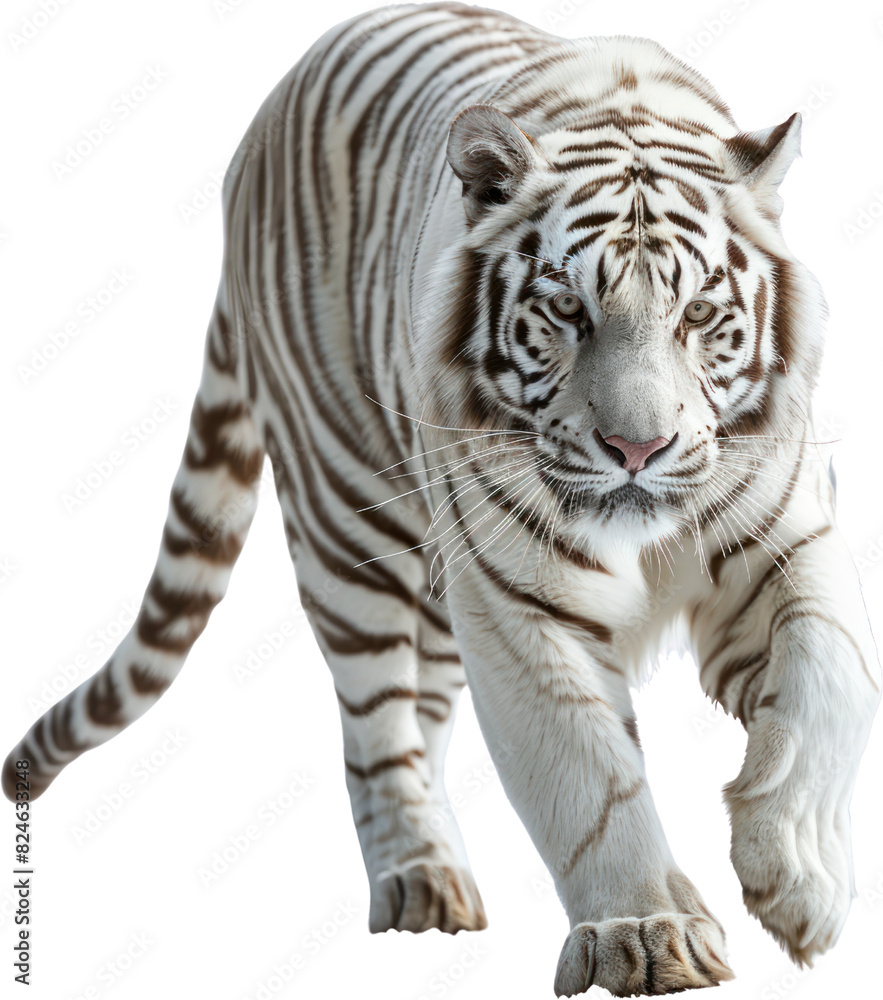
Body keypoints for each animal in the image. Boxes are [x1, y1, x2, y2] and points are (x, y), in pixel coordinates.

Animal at [4, 2, 880, 996]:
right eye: (567, 311)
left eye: (696, 314)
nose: (636, 449)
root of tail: (262, 121)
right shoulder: (518, 600)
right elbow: (587, 773)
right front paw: (644, 932)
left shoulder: (789, 540)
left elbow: (830, 679)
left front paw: (799, 883)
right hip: (345, 526)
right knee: (377, 726)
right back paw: (420, 878)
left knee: (424, 711)